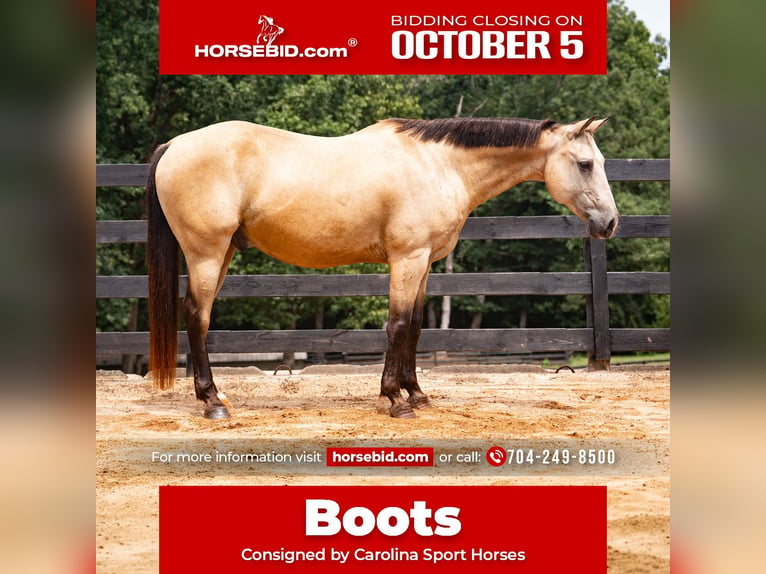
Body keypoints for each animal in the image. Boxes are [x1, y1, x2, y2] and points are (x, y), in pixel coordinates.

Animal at [146, 116, 618, 419]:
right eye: (585, 164)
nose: (610, 223)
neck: (439, 164)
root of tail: (176, 144)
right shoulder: (407, 258)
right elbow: (396, 324)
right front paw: (395, 400)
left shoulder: (425, 262)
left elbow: (415, 326)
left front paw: (417, 393)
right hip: (207, 253)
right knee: (197, 316)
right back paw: (212, 401)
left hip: (223, 252)